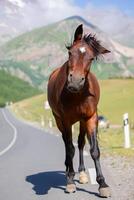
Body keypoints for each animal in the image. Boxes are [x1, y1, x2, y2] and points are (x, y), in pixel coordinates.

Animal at [47, 24, 111, 198]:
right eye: (70, 53)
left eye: (91, 58)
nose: (75, 82)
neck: (77, 95)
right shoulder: (66, 120)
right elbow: (70, 149)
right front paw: (70, 181)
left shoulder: (90, 117)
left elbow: (94, 150)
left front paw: (102, 184)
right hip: (59, 120)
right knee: (67, 143)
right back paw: (69, 171)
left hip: (82, 121)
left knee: (81, 143)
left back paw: (81, 173)